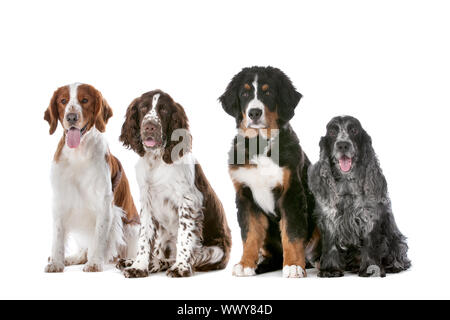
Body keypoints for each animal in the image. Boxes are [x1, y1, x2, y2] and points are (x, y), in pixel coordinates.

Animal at [219, 65, 318, 278]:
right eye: (245, 93)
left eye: (268, 92)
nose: (254, 113)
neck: (260, 144)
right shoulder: (245, 195)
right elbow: (250, 234)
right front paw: (246, 263)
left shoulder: (291, 192)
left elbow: (291, 233)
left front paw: (294, 265)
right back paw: (263, 263)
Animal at [308, 115, 410, 278]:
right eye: (332, 132)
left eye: (354, 130)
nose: (343, 145)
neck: (347, 183)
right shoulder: (328, 217)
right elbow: (330, 244)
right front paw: (330, 269)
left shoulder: (369, 216)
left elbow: (370, 243)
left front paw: (371, 269)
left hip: (393, 233)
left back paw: (393, 265)